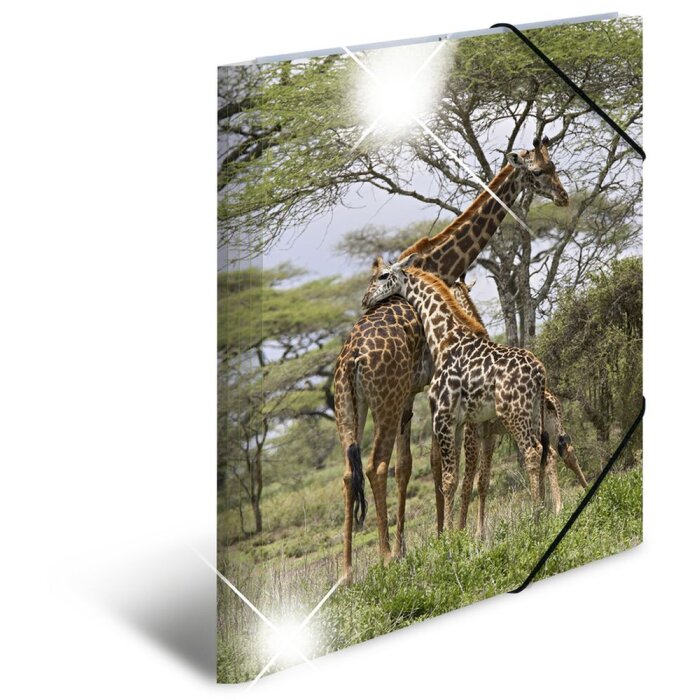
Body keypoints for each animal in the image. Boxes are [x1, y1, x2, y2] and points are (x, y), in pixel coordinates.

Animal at [362, 257, 554, 529]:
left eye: (383, 275)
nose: (366, 299)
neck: (443, 338)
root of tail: (540, 371)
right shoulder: (461, 422)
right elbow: (459, 478)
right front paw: (459, 531)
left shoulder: (443, 418)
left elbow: (451, 479)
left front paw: (451, 534)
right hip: (534, 413)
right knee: (546, 452)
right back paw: (548, 510)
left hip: (514, 413)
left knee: (532, 451)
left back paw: (537, 517)